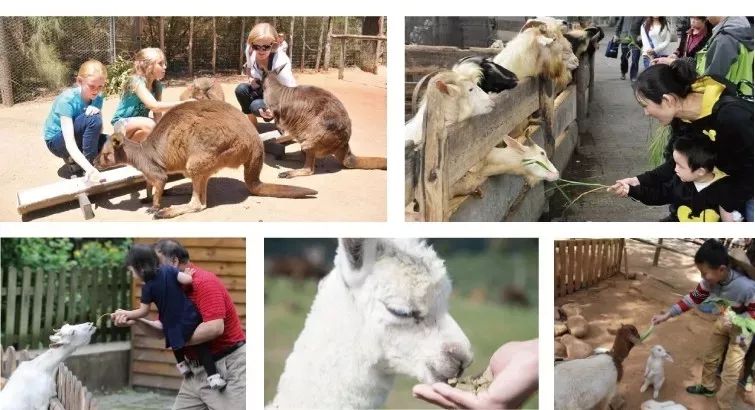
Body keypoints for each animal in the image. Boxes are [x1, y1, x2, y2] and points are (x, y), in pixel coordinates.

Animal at [94, 99, 316, 219]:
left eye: (105, 154)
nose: (95, 163)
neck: (140, 153)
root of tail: (255, 142)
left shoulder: (155, 171)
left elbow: (160, 182)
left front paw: (154, 207)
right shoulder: (149, 173)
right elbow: (150, 186)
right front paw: (147, 198)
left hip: (207, 153)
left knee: (199, 204)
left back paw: (166, 211)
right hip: (204, 161)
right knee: (202, 191)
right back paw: (177, 191)